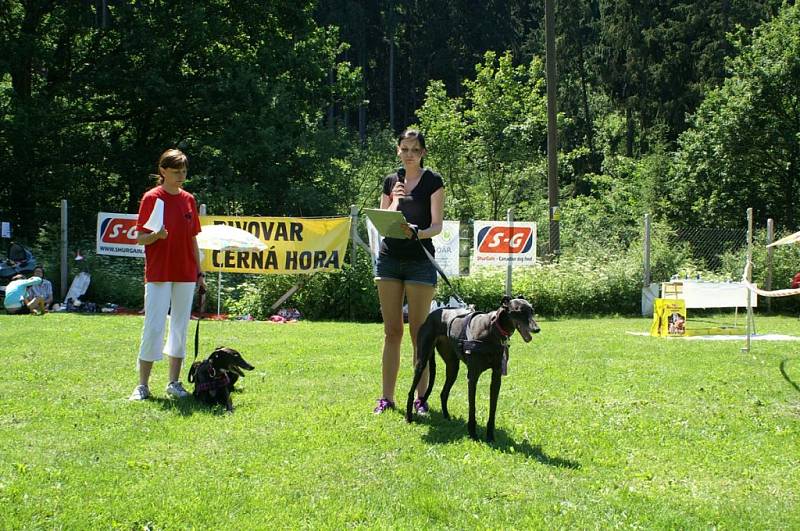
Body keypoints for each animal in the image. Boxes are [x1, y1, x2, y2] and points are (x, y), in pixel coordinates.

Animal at [404, 298, 540, 442]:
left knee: (444, 393)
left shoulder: (496, 377)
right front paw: (473, 434)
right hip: (421, 361)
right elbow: (472, 407)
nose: (537, 329)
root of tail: (432, 314)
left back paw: (447, 417)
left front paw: (490, 436)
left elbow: (493, 408)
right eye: (519, 311)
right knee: (411, 391)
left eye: (532, 310)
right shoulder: (472, 377)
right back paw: (409, 417)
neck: (492, 329)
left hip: (453, 367)